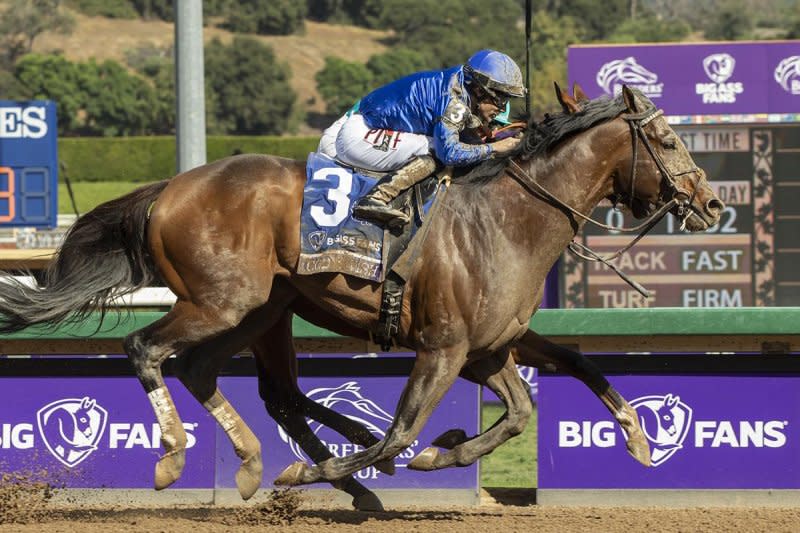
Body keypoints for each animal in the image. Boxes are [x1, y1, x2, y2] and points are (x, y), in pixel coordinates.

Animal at [0, 86, 724, 508]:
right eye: (666, 138)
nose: (711, 202)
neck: (506, 219)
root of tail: (172, 187)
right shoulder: (444, 347)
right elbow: (402, 432)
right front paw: (356, 464)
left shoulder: (491, 346)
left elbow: (548, 387)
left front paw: (635, 436)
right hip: (221, 302)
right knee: (146, 348)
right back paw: (182, 456)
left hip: (260, 310)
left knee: (230, 378)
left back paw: (261, 461)